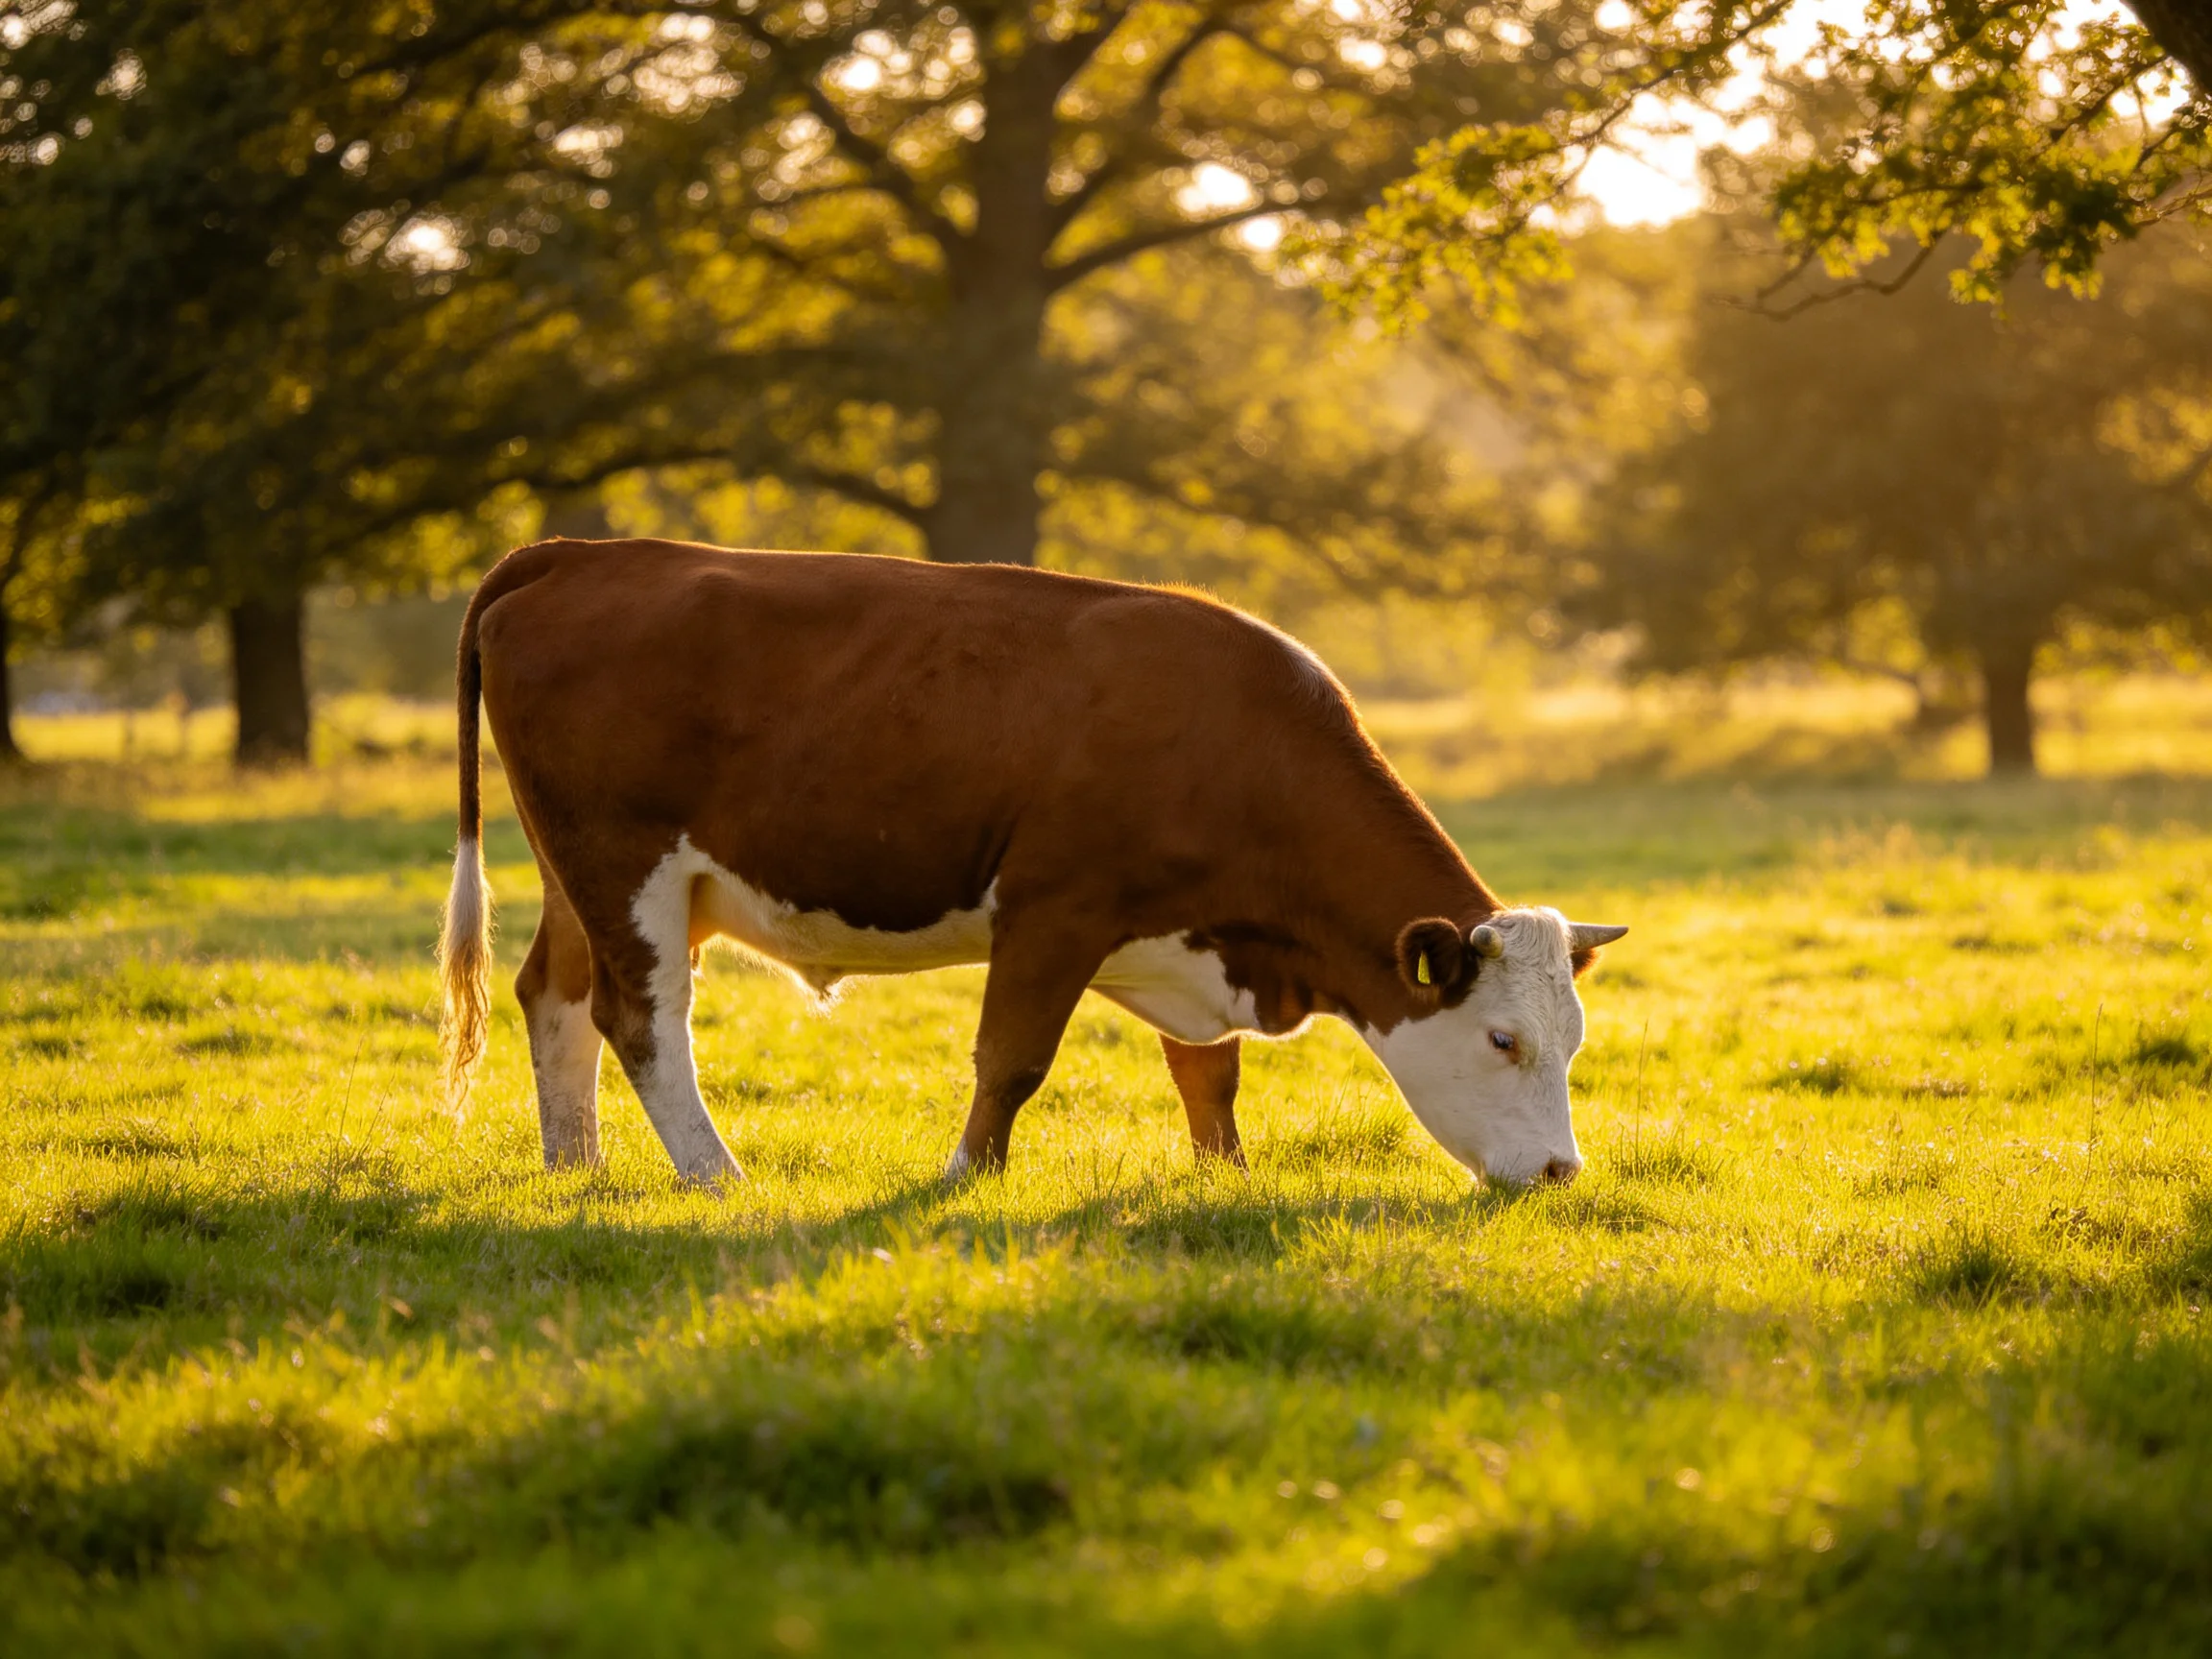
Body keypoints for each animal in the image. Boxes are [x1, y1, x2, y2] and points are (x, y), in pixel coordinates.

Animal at [437, 538, 1625, 1189]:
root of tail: (580, 552)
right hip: (622, 862)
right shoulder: (1056, 911)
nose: (1560, 1174)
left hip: (586, 876)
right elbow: (1011, 1060)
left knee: (553, 994)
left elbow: (1209, 1071)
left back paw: (576, 1164)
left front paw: (1226, 1179)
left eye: (1573, 1039)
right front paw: (969, 1175)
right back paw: (717, 1177)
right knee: (640, 1019)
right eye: (1504, 1038)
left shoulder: (1179, 930)